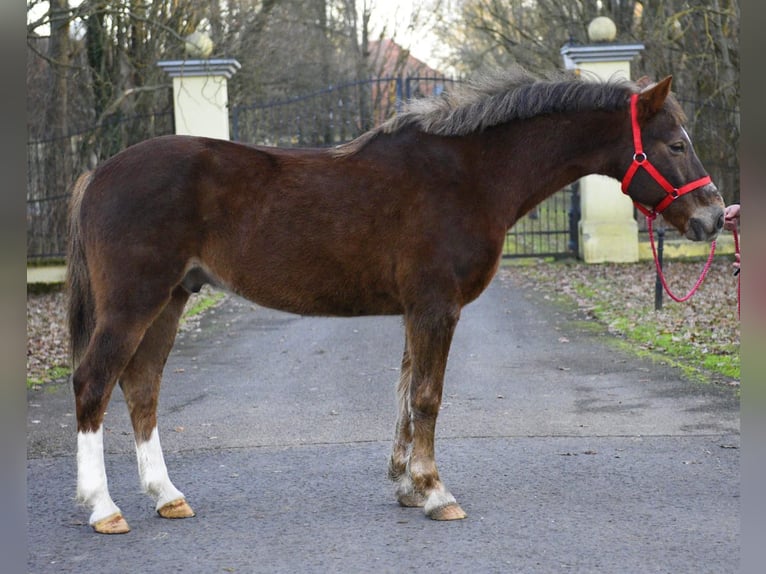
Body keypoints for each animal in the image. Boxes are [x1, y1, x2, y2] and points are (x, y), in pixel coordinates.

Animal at [66, 67, 724, 534]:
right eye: (674, 144)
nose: (714, 217)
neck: (468, 174)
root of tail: (97, 174)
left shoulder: (416, 311)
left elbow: (408, 394)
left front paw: (408, 487)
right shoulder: (436, 306)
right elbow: (428, 397)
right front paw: (435, 493)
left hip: (171, 300)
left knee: (142, 388)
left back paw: (167, 497)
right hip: (134, 304)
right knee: (95, 383)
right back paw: (103, 509)